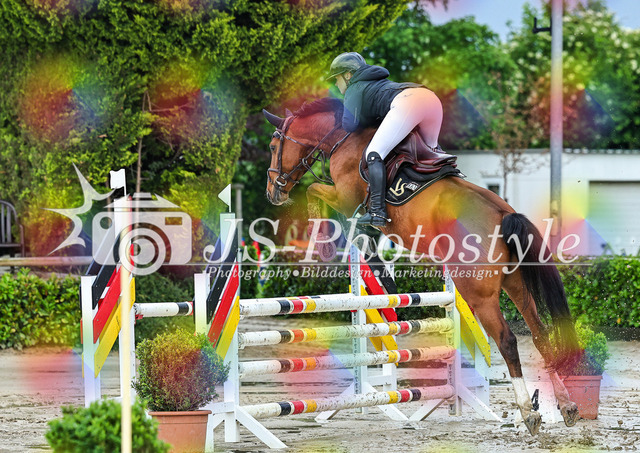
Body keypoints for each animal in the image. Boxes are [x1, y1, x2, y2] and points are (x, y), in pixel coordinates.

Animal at [262, 97, 580, 435]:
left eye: (273, 145)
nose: (273, 191)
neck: (342, 139)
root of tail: (503, 213)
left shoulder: (345, 197)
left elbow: (315, 192)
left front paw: (321, 242)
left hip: (478, 294)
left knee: (507, 340)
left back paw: (528, 411)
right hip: (515, 283)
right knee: (540, 334)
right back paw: (566, 405)